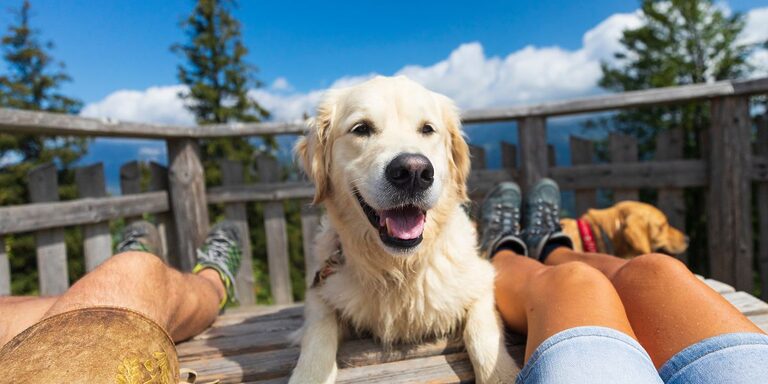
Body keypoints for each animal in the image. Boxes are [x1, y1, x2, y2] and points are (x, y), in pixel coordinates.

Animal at [292, 76, 520, 384]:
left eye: (427, 129)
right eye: (361, 128)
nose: (413, 171)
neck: (399, 267)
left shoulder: (481, 281)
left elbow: (483, 335)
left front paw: (502, 374)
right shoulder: (320, 289)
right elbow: (316, 334)